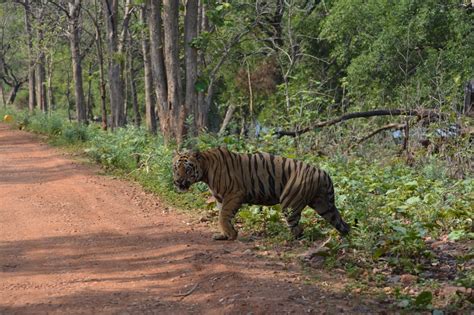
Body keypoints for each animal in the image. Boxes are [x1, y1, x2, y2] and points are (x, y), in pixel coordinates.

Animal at [172, 147, 350, 241]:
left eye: (187, 168)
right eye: (175, 168)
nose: (178, 181)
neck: (206, 170)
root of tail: (323, 172)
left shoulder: (234, 194)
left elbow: (223, 216)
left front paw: (231, 235)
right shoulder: (220, 198)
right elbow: (222, 217)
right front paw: (224, 235)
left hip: (290, 203)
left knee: (297, 228)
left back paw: (288, 240)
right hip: (323, 204)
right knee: (341, 223)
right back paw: (345, 239)